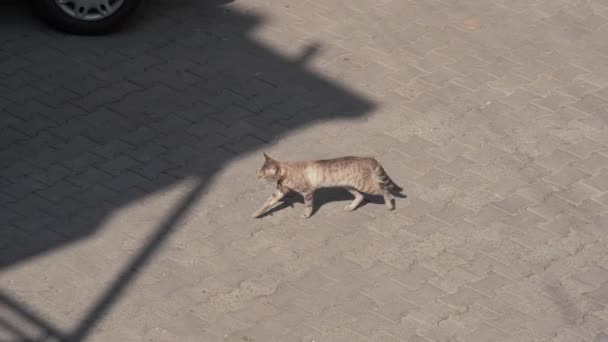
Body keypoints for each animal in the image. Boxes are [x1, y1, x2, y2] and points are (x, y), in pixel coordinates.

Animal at [253, 153, 404, 218]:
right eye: (260, 172)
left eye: (263, 174)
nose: (257, 177)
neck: (287, 173)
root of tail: (368, 158)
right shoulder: (280, 191)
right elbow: (267, 202)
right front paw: (257, 213)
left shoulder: (307, 192)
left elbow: (308, 205)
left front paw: (306, 215)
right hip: (349, 186)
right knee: (360, 196)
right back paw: (351, 207)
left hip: (365, 185)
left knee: (384, 189)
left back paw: (390, 206)